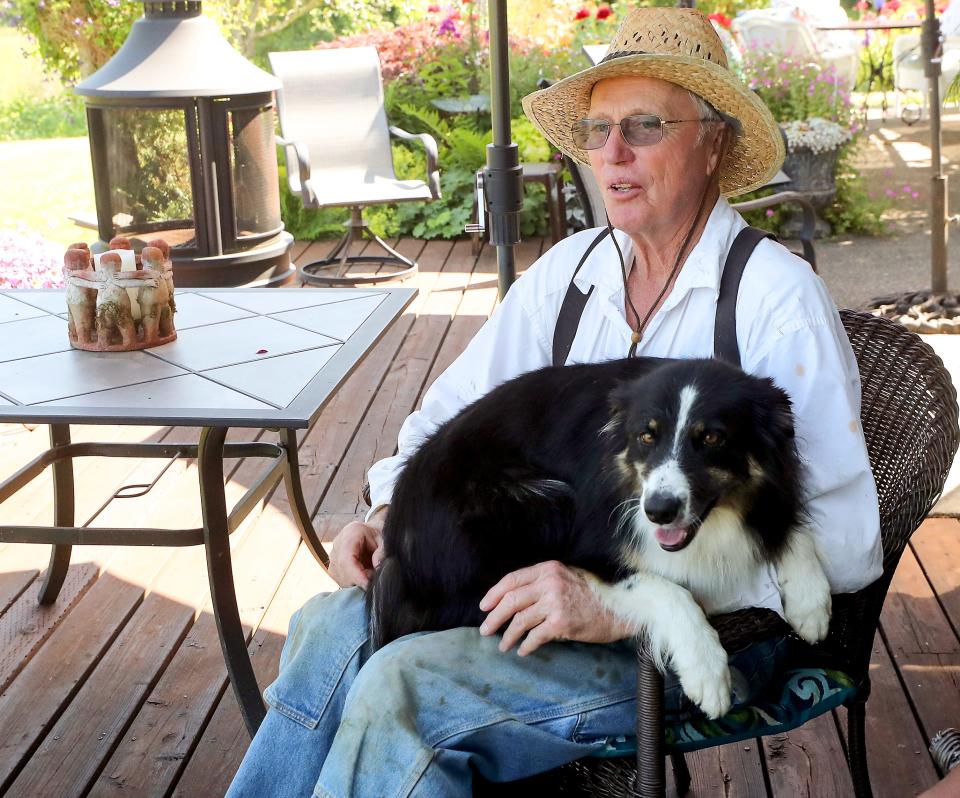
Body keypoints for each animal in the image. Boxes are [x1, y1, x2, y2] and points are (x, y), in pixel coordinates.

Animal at [368, 360, 832, 720]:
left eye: (712, 437)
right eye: (647, 436)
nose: (658, 511)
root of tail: (398, 553)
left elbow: (792, 527)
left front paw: (811, 605)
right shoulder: (592, 543)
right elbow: (668, 589)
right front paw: (706, 671)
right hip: (545, 501)